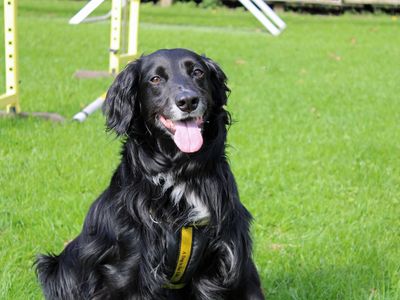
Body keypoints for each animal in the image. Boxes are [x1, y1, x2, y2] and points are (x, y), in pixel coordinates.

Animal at [36, 49, 264, 300]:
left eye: (198, 72)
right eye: (155, 79)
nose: (188, 101)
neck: (182, 172)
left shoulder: (229, 262)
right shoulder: (128, 271)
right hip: (58, 267)